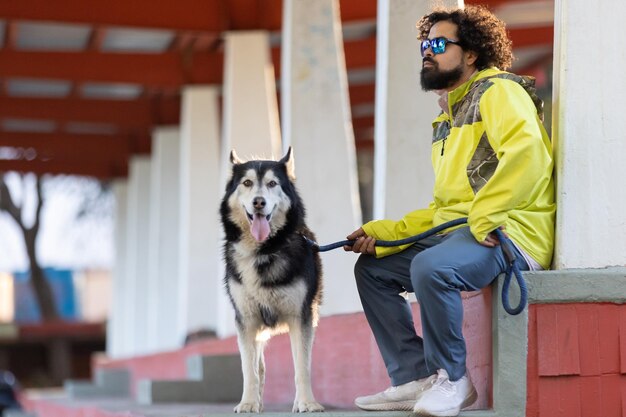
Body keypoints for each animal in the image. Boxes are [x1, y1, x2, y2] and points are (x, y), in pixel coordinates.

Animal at [219, 147, 324, 412]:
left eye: (272, 183)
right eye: (247, 183)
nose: (259, 202)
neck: (264, 251)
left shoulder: (301, 317)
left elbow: (301, 367)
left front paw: (307, 402)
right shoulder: (246, 320)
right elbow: (250, 370)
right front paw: (247, 403)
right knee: (259, 366)